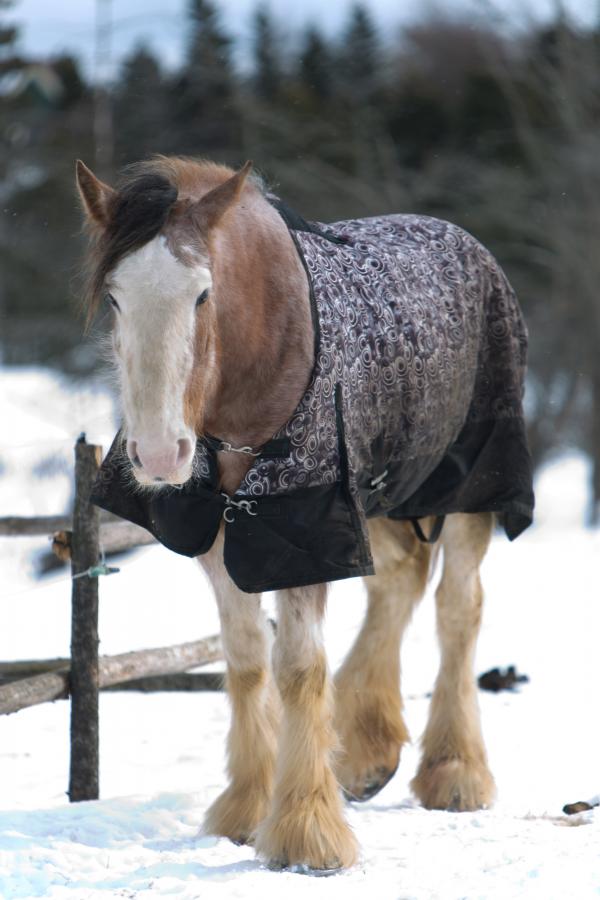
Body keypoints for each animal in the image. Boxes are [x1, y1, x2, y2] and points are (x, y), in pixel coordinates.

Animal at [76, 156, 533, 872]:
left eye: (202, 295)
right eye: (117, 298)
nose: (158, 454)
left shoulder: (302, 529)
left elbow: (298, 669)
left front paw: (306, 833)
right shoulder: (226, 532)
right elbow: (245, 659)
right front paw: (245, 809)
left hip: (468, 490)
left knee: (458, 608)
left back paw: (454, 772)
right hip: (377, 497)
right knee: (398, 583)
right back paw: (367, 750)